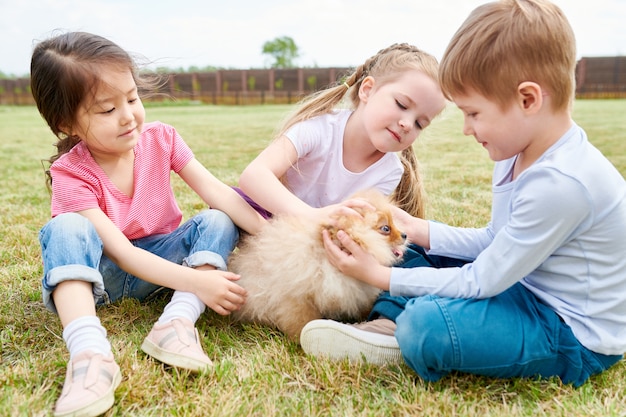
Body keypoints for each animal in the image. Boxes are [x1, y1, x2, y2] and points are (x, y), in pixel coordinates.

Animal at [228, 189, 404, 342]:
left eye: (394, 223)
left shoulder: (358, 290)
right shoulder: (296, 299)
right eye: (386, 228)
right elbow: (301, 322)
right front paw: (300, 340)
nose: (404, 235)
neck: (326, 259)